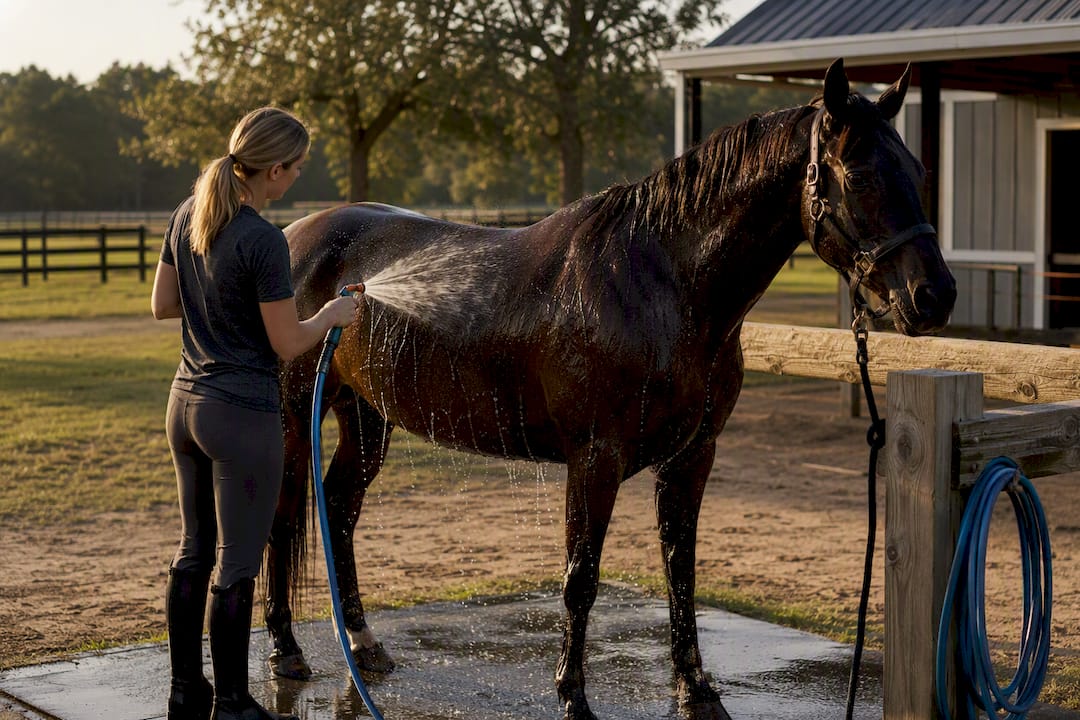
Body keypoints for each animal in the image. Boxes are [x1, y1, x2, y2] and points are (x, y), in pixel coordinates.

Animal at [264, 58, 956, 720]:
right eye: (860, 176)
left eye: (918, 169)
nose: (934, 296)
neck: (659, 282)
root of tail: (293, 237)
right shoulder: (594, 460)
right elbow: (581, 578)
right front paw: (573, 695)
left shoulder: (692, 457)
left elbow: (681, 570)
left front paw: (695, 690)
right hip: (295, 417)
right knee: (282, 516)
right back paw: (286, 650)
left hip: (367, 417)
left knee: (339, 509)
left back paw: (363, 646)